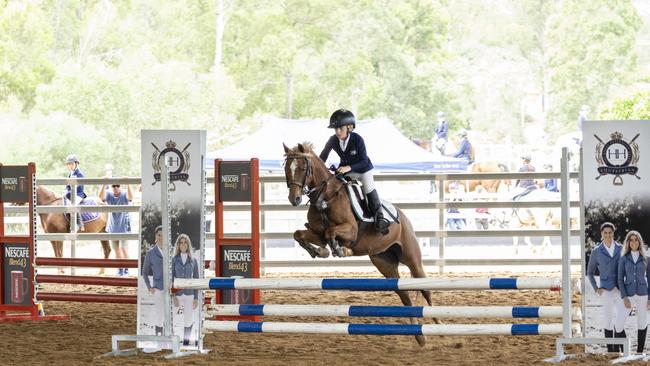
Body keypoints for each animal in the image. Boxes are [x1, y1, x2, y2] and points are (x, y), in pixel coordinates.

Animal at [280, 142, 432, 346]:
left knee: (426, 290)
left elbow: (331, 233)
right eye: (287, 169)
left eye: (303, 168)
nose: (294, 199)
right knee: (405, 297)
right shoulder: (316, 234)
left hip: (412, 259)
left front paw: (340, 250)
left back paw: (438, 325)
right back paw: (419, 337)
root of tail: (403, 217)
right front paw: (320, 252)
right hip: (385, 263)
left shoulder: (350, 231)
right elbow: (300, 234)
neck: (325, 197)